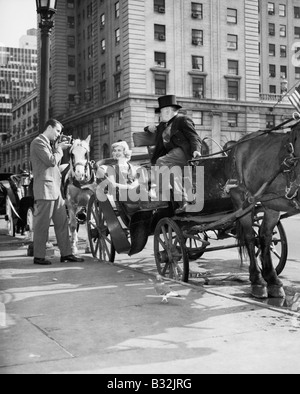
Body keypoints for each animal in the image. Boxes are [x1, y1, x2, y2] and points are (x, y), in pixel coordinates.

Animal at [227, 120, 300, 298]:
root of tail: (236, 144)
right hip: (241, 200)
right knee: (250, 237)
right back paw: (257, 280)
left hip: (271, 204)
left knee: (264, 236)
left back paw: (272, 280)